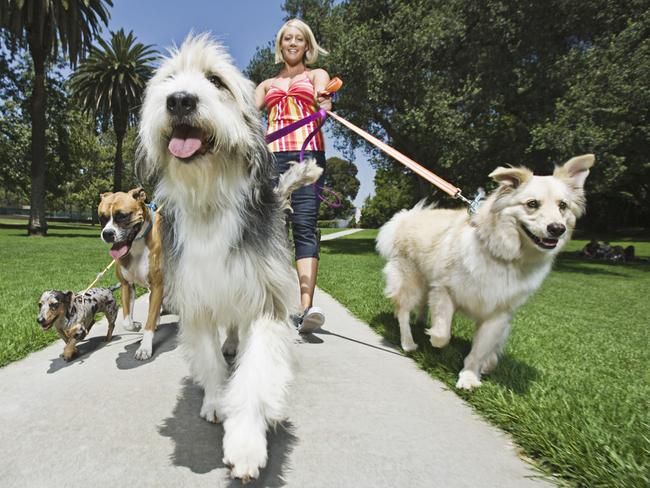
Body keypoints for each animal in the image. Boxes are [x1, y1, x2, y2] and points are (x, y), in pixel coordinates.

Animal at [138, 33, 318, 480]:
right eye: (169, 80)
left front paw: (246, 442)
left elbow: (256, 374)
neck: (210, 200)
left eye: (216, 81)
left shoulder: (267, 299)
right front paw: (217, 401)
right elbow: (208, 358)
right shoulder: (196, 298)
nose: (180, 101)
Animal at [374, 154, 592, 390]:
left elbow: (481, 349)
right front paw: (434, 341)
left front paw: (471, 375)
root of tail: (406, 217)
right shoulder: (444, 290)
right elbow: (443, 333)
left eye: (563, 206)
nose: (557, 229)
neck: (506, 257)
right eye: (532, 204)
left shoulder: (498, 313)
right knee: (403, 312)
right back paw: (409, 342)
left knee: (421, 306)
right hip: (410, 281)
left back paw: (422, 323)